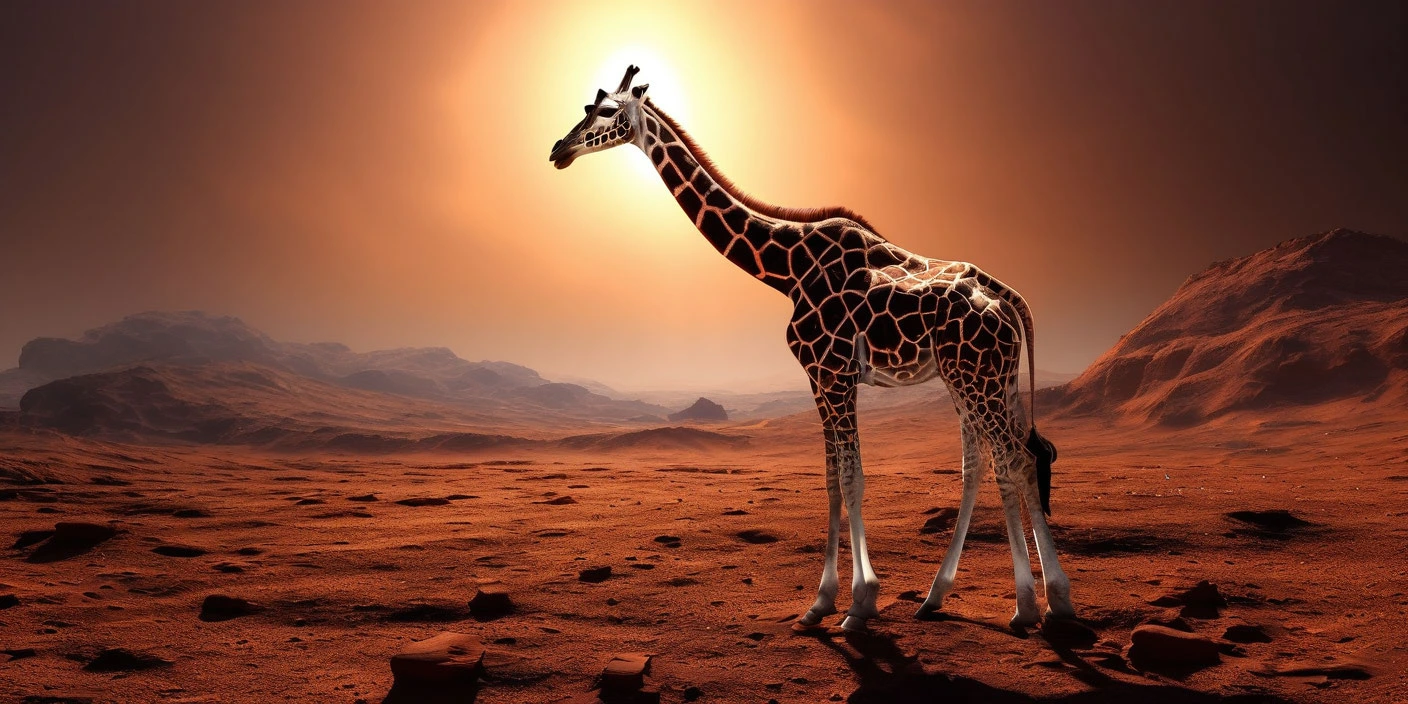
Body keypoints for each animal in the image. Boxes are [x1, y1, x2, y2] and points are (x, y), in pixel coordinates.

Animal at [549, 66, 1074, 631]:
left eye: (606, 110)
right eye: (586, 104)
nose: (559, 149)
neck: (785, 270)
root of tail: (1008, 300)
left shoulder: (831, 372)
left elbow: (851, 477)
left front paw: (860, 603)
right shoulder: (821, 379)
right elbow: (829, 479)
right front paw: (821, 602)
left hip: (976, 378)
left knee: (1016, 458)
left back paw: (1039, 604)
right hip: (986, 378)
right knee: (990, 462)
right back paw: (953, 597)